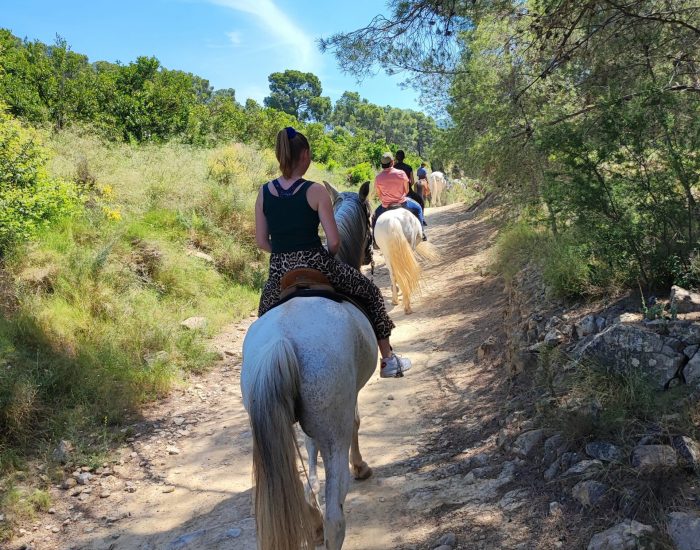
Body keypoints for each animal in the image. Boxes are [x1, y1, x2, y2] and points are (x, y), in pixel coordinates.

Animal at [240, 181, 376, 550]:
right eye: (370, 215)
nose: (370, 255)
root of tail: (282, 339)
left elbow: (309, 454)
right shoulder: (348, 402)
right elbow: (356, 421)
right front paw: (361, 466)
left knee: (305, 486)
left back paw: (312, 522)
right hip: (333, 431)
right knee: (335, 516)